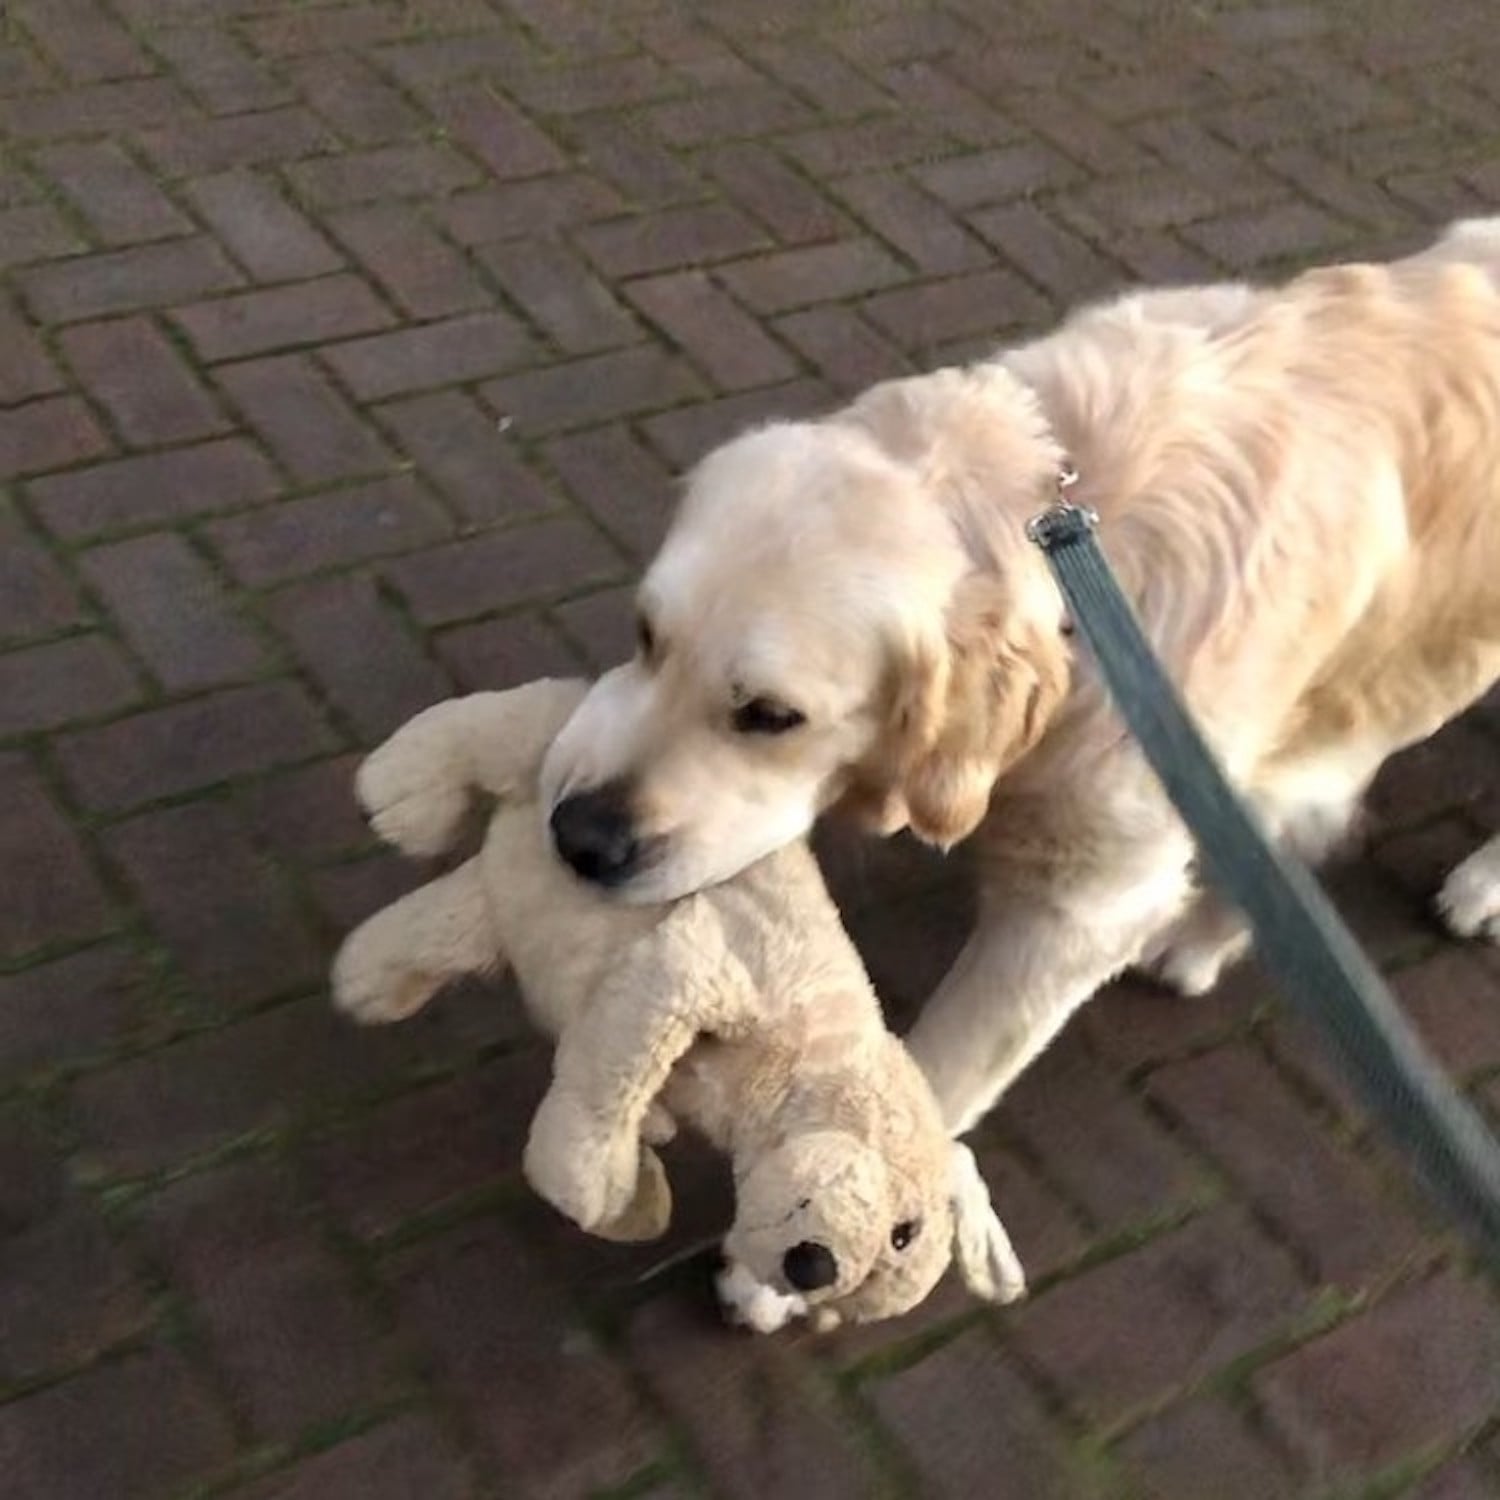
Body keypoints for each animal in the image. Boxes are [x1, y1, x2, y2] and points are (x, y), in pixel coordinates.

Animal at [540, 219, 1500, 1134]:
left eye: (772, 716)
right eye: (646, 636)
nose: (577, 840)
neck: (1068, 539)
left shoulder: (1081, 908)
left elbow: (935, 1088)